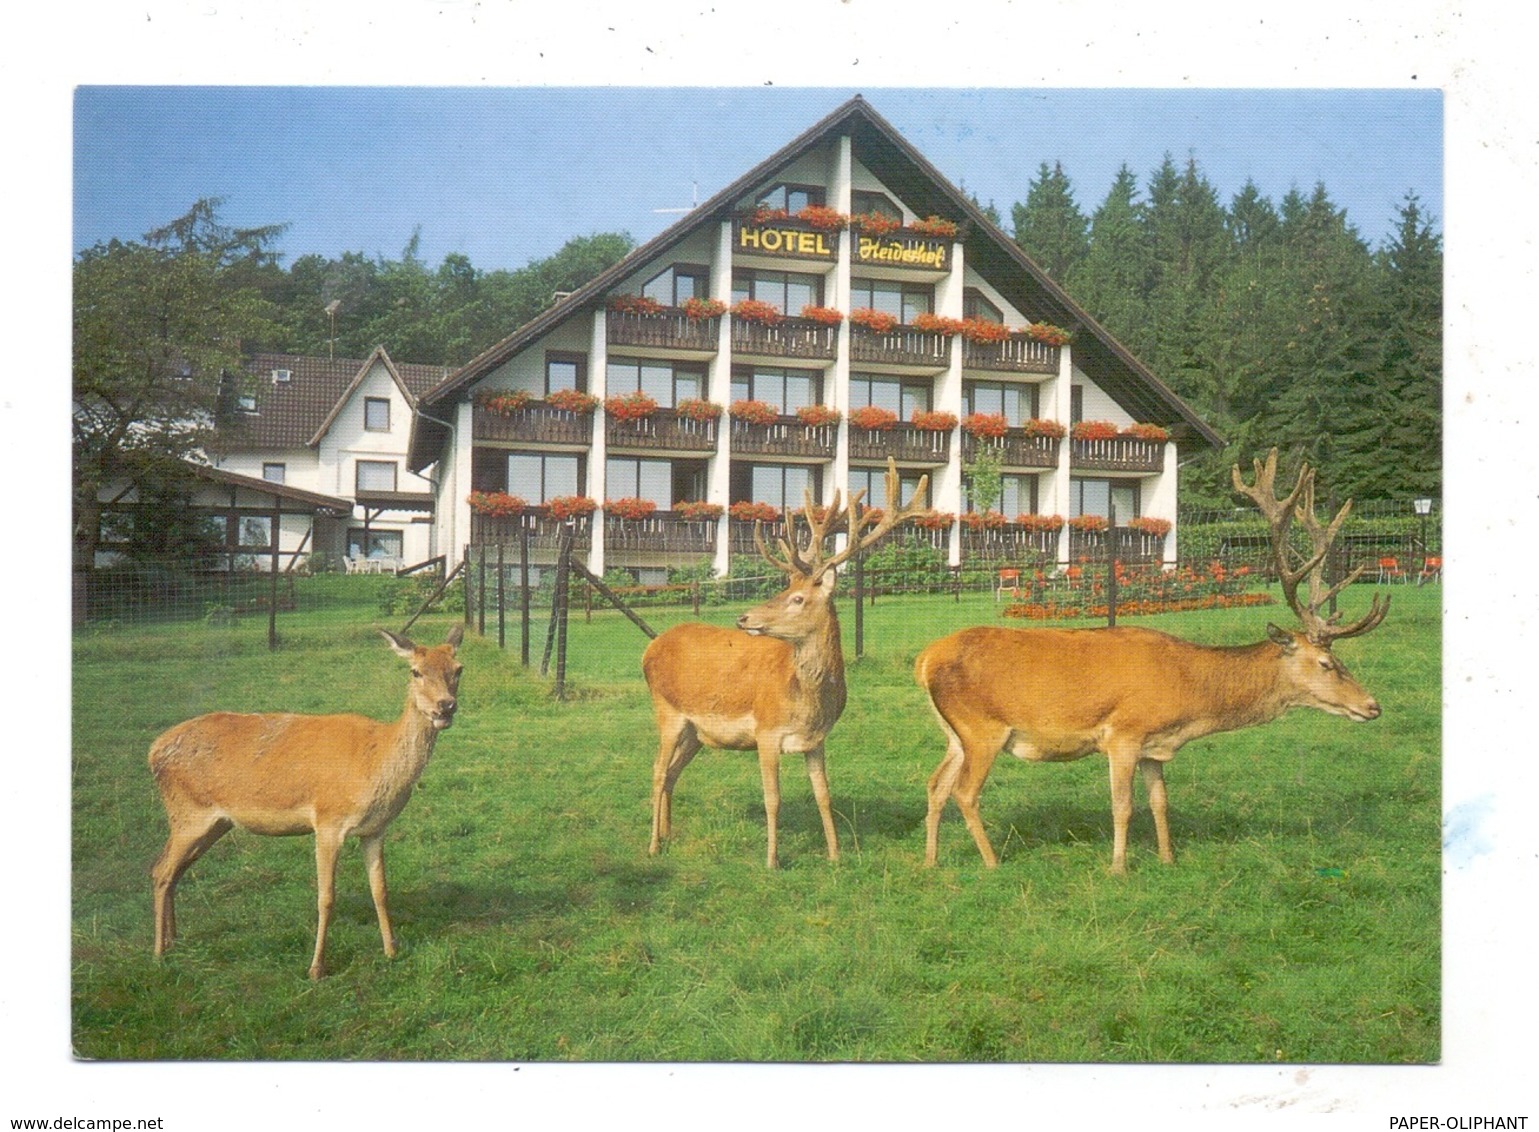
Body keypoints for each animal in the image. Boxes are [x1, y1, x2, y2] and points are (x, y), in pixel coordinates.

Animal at [149, 624, 461, 978]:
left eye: (458, 669)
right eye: (415, 671)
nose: (445, 706)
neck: (375, 761)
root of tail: (153, 751)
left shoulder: (375, 829)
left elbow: (381, 890)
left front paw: (391, 951)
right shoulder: (328, 820)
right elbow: (326, 897)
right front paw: (316, 968)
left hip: (214, 822)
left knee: (174, 871)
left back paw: (174, 940)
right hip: (188, 812)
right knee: (160, 870)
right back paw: (158, 953)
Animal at [646, 458, 929, 867]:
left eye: (797, 598)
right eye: (784, 588)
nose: (744, 618)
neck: (807, 702)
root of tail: (649, 650)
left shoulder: (817, 740)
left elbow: (824, 794)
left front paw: (835, 855)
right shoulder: (765, 733)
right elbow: (772, 798)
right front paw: (772, 860)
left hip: (697, 732)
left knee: (671, 772)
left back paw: (668, 835)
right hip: (666, 710)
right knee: (656, 771)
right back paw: (653, 845)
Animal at [917, 452, 1391, 873]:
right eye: (1327, 662)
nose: (1372, 706)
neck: (1187, 694)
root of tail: (924, 659)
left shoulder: (1155, 748)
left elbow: (1160, 802)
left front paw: (1167, 858)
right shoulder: (1123, 733)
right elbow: (1123, 805)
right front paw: (1118, 868)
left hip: (955, 733)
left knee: (936, 784)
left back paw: (931, 860)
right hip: (982, 727)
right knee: (964, 792)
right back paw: (992, 862)